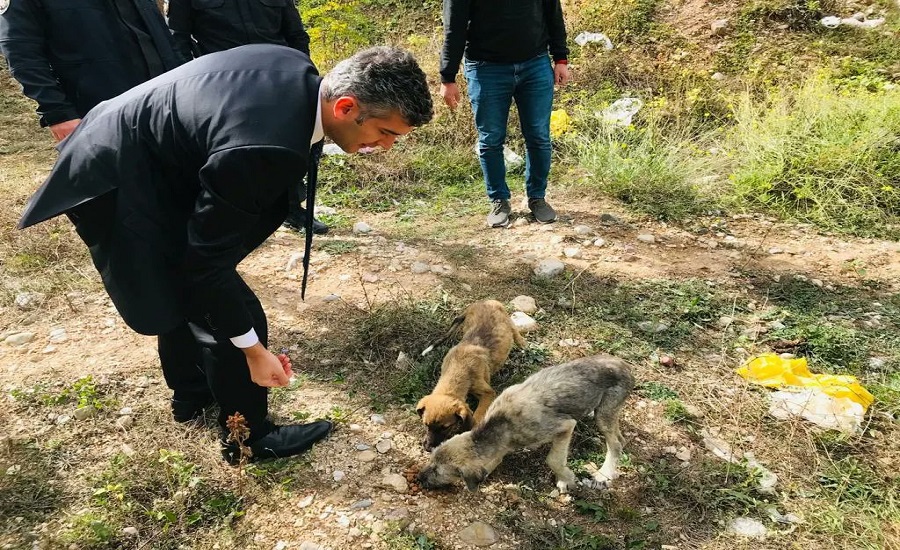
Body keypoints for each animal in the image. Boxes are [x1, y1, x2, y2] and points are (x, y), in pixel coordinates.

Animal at [416, 302, 524, 452]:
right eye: (426, 424)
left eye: (446, 427)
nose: (428, 448)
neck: (458, 367)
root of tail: (483, 302)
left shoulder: (488, 393)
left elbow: (478, 414)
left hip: (506, 319)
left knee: (514, 328)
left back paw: (522, 342)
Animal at [416, 356, 632, 494]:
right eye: (431, 462)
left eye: (437, 471)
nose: (419, 477)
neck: (502, 424)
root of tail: (625, 365)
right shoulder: (500, 448)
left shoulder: (565, 426)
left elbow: (554, 460)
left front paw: (566, 479)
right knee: (621, 439)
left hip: (605, 413)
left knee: (616, 444)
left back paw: (604, 474)